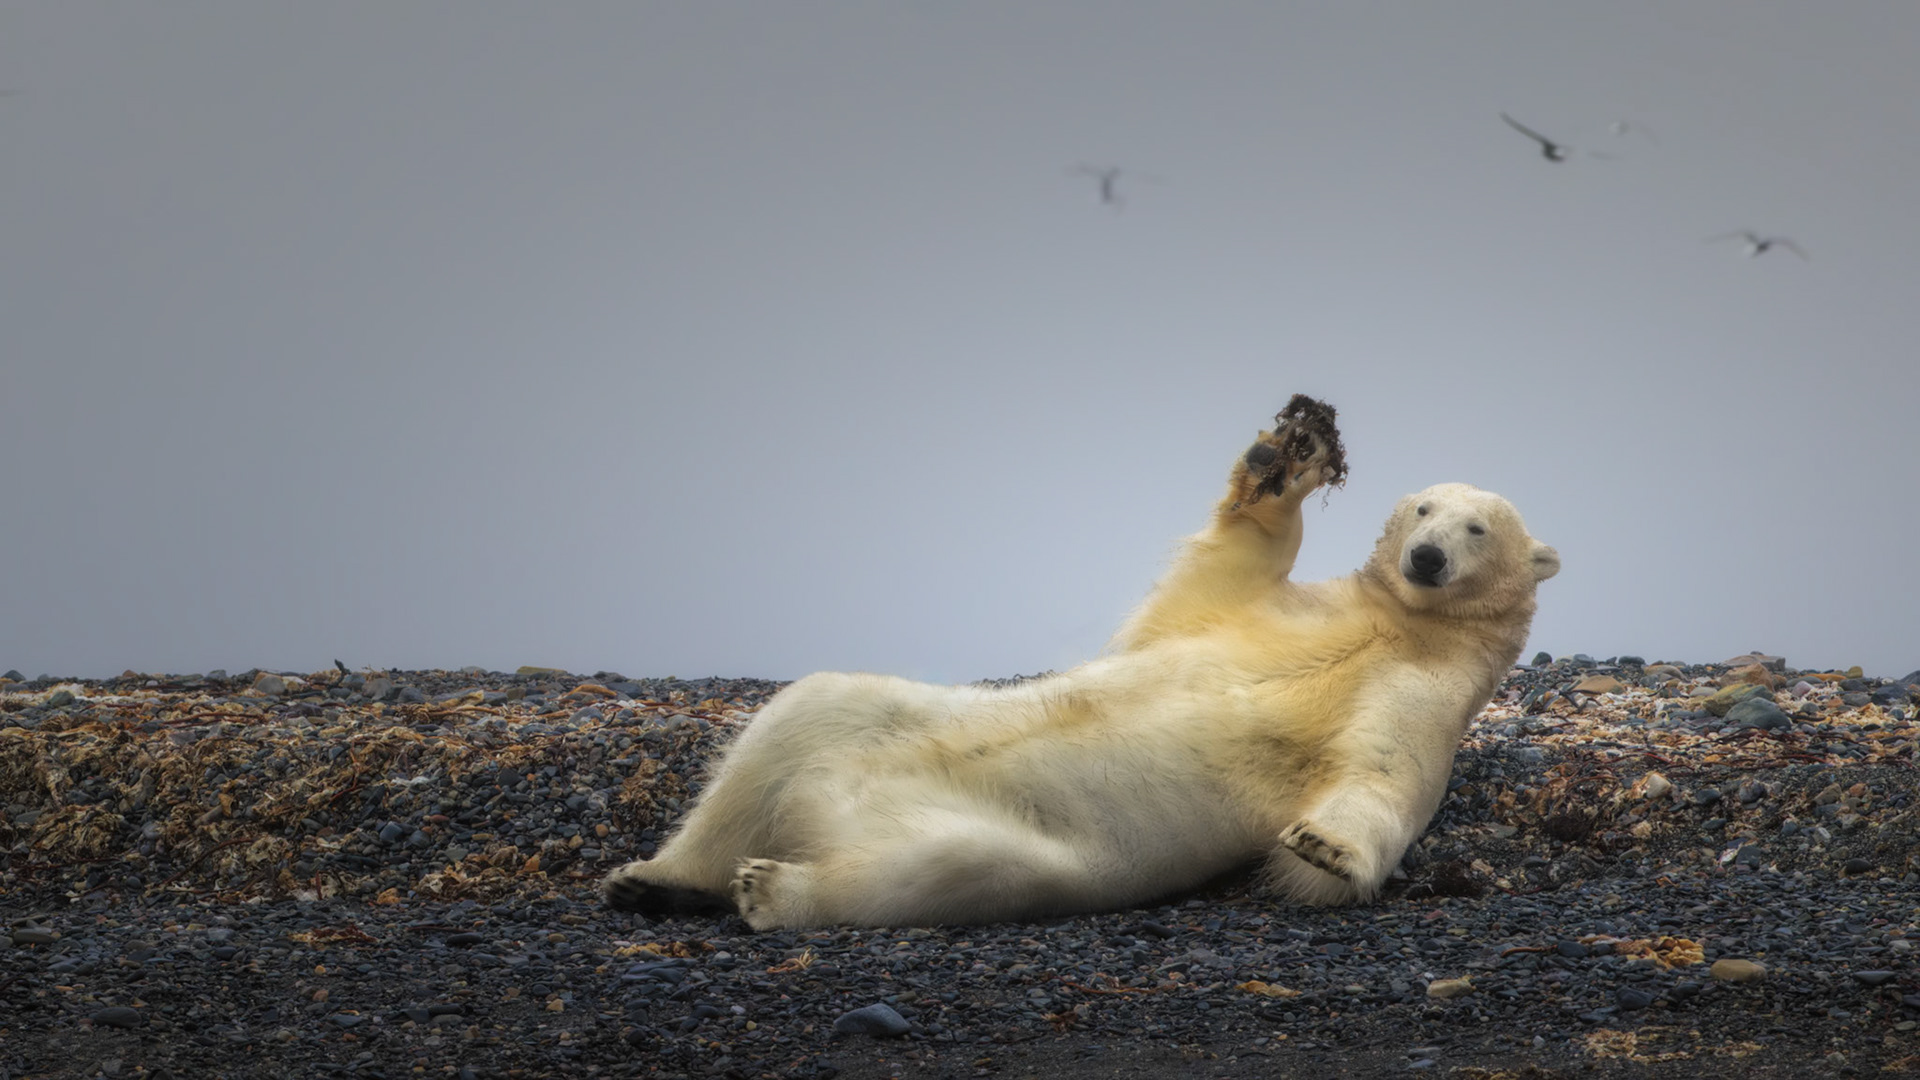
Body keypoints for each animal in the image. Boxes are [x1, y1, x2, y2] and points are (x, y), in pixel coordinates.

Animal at [602, 395, 1559, 929]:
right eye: (1425, 509)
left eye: (1478, 528)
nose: (1426, 559)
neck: (1399, 623)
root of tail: (823, 813)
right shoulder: (1266, 612)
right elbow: (1230, 564)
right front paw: (1289, 453)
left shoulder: (1427, 693)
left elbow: (1382, 776)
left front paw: (1320, 846)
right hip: (875, 728)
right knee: (807, 713)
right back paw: (653, 879)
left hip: (1031, 845)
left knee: (953, 868)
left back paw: (770, 890)